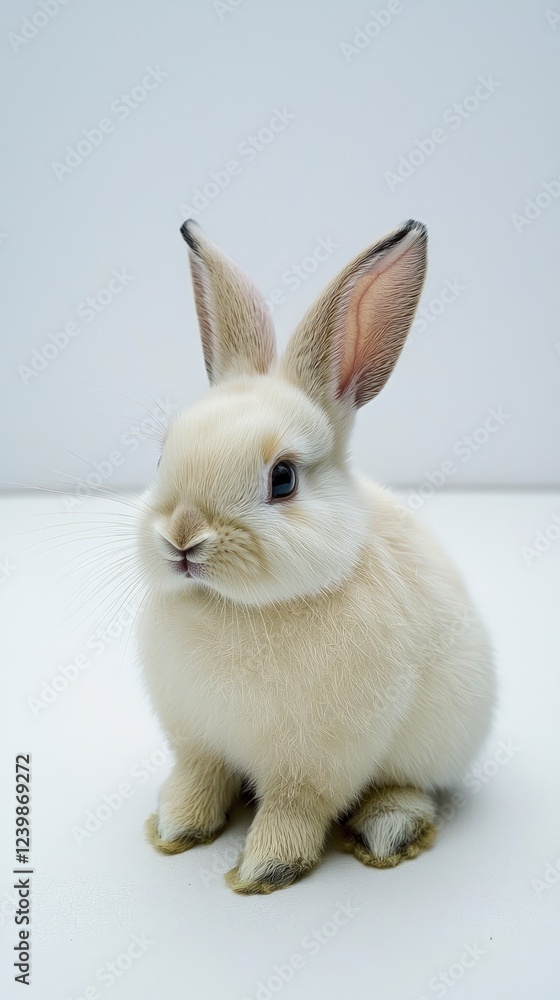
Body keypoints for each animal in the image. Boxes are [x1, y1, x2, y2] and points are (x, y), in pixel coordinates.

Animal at [137, 218, 495, 894]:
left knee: (409, 786)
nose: (183, 539)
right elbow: (200, 780)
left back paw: (387, 829)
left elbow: (293, 809)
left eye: (282, 479)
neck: (237, 609)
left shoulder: (315, 766)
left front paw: (263, 869)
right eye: (164, 453)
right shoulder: (197, 741)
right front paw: (174, 828)